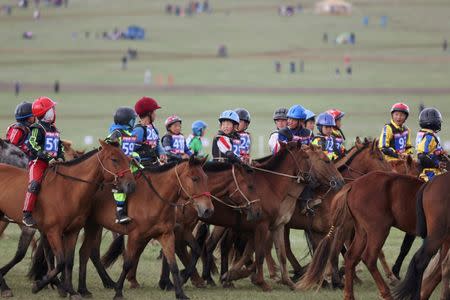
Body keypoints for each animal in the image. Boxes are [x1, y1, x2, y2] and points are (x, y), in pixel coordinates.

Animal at [0, 140, 136, 298]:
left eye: (128, 159)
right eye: (114, 159)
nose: (131, 185)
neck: (69, 189)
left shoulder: (72, 231)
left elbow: (68, 262)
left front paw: (70, 290)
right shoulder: (53, 231)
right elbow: (60, 261)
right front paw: (39, 285)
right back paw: (5, 286)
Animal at [298, 171, 424, 300]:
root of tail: (352, 185)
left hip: (361, 231)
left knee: (351, 256)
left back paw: (348, 291)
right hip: (378, 230)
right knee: (368, 258)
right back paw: (385, 292)